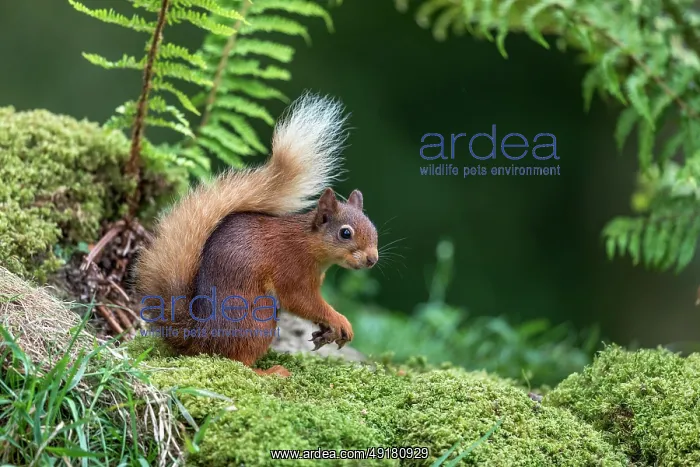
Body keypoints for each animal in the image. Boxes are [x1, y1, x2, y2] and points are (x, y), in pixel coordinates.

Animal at [136, 93, 379, 377]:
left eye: (374, 229)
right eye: (345, 233)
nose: (372, 259)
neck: (308, 245)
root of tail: (199, 338)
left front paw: (326, 331)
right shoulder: (291, 269)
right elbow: (302, 301)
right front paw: (338, 320)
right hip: (258, 317)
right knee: (238, 361)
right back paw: (270, 372)